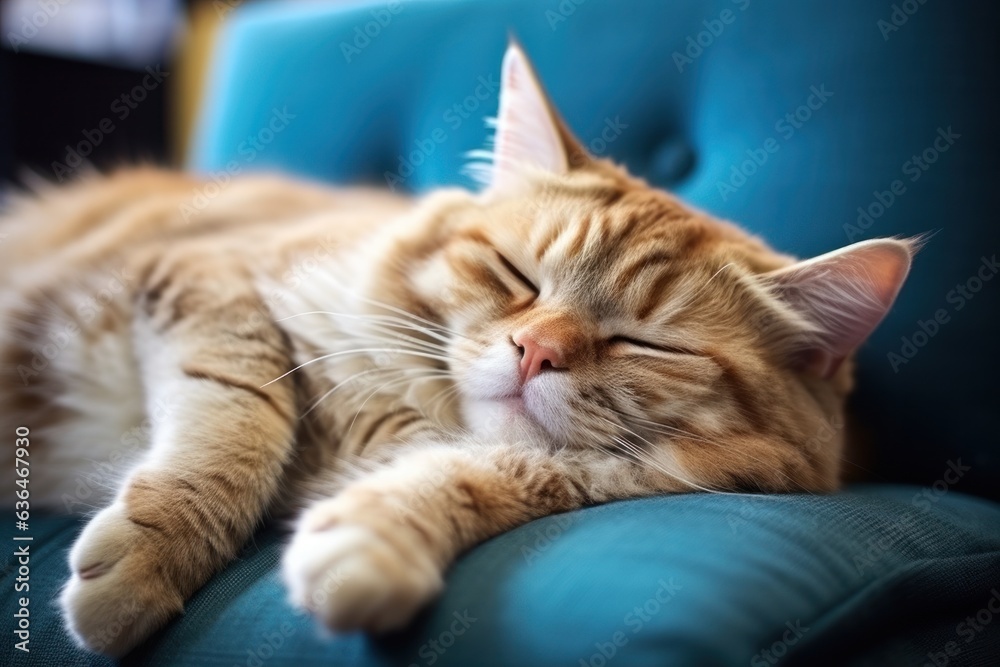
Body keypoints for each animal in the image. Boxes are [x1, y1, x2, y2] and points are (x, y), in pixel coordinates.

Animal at [0, 45, 916, 656]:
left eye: (643, 341)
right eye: (519, 277)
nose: (534, 351)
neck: (392, 418)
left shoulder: (581, 473)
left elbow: (468, 479)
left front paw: (369, 546)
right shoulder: (212, 285)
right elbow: (237, 424)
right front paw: (149, 561)